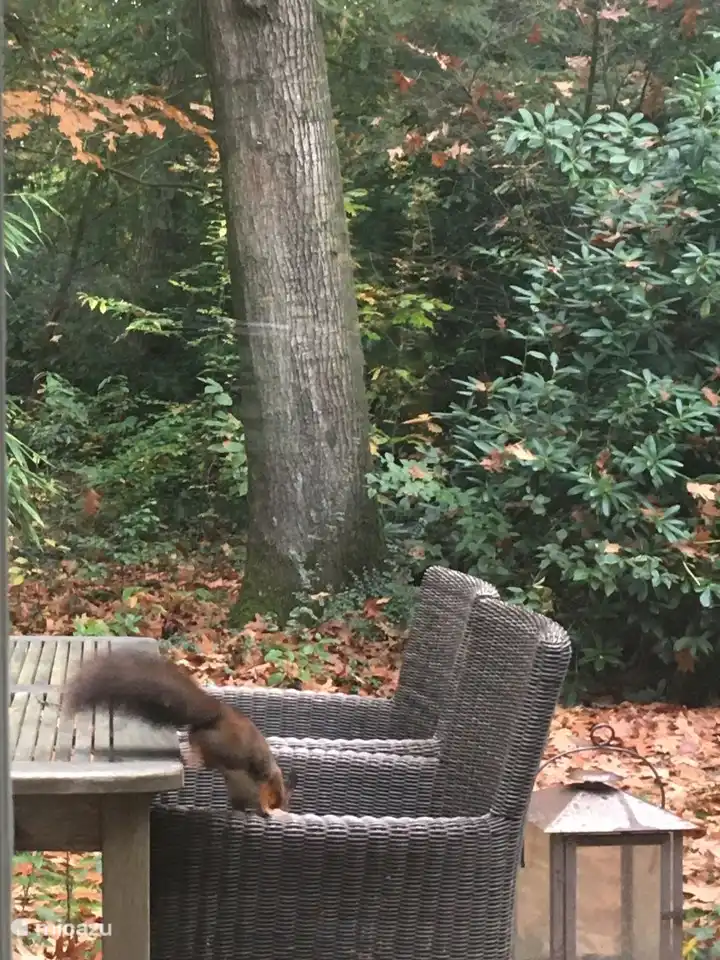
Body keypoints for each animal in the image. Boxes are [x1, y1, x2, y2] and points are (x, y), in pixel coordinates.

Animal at [65, 649, 288, 815]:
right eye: (277, 798)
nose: (277, 807)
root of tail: (218, 714)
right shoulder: (256, 780)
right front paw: (263, 811)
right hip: (221, 747)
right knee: (201, 749)